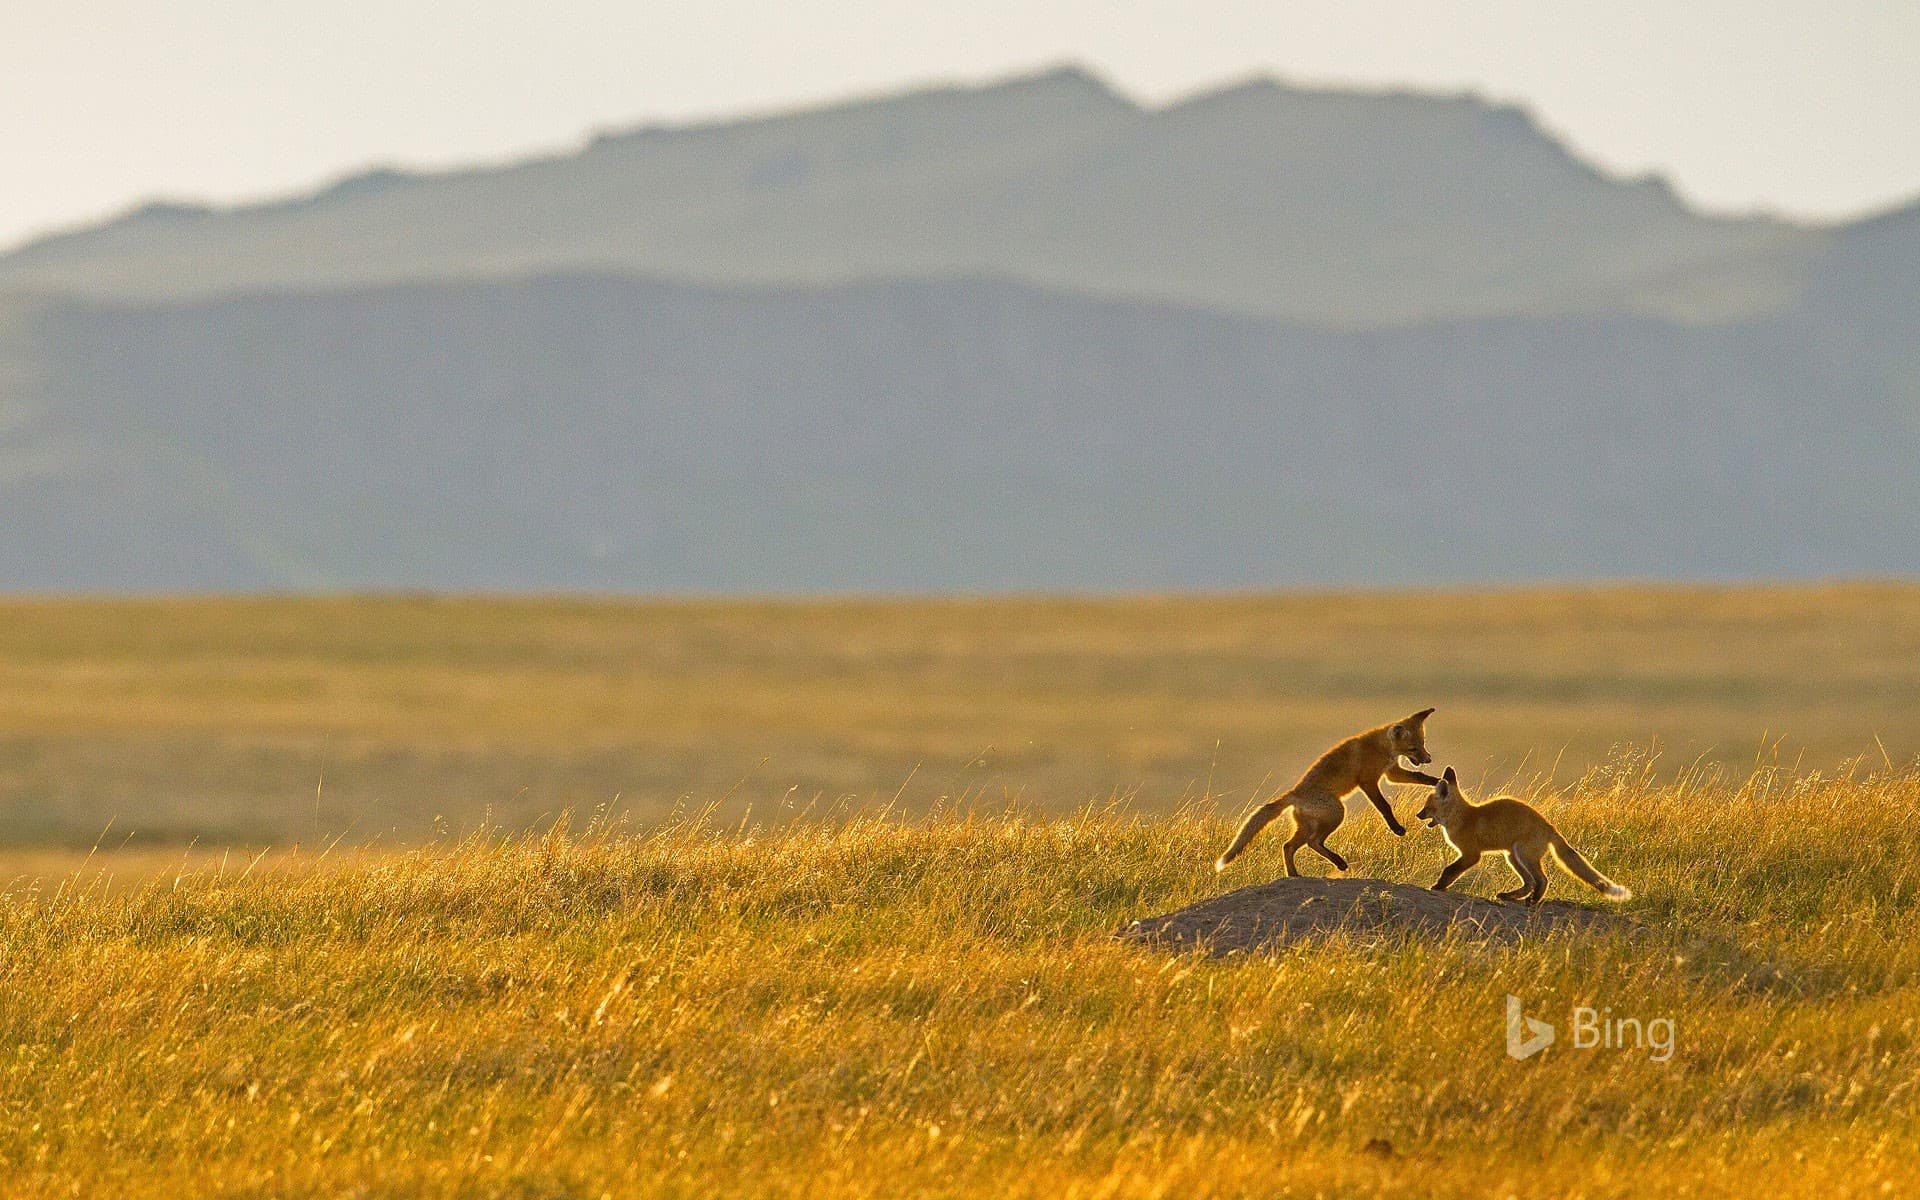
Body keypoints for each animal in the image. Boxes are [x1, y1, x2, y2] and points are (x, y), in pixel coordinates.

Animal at [1214, 709, 1439, 877]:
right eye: (1413, 748)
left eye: (1423, 744)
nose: (1428, 758)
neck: (1382, 747)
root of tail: (1294, 793)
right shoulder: (1368, 780)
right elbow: (1384, 806)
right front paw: (1396, 828)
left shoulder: (1391, 771)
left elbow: (1420, 777)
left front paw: (1437, 782)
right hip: (1336, 813)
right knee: (1312, 842)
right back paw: (1336, 863)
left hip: (1308, 825)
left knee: (1288, 846)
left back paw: (1296, 873)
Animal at [1415, 767, 1631, 905]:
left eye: (1427, 807)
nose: (1418, 815)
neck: (1463, 817)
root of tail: (1549, 826)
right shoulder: (1470, 854)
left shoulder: (1471, 854)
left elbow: (1450, 870)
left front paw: (1439, 886)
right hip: (1512, 857)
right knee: (1529, 883)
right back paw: (1510, 897)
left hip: (1523, 855)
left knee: (1541, 880)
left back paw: (1532, 900)